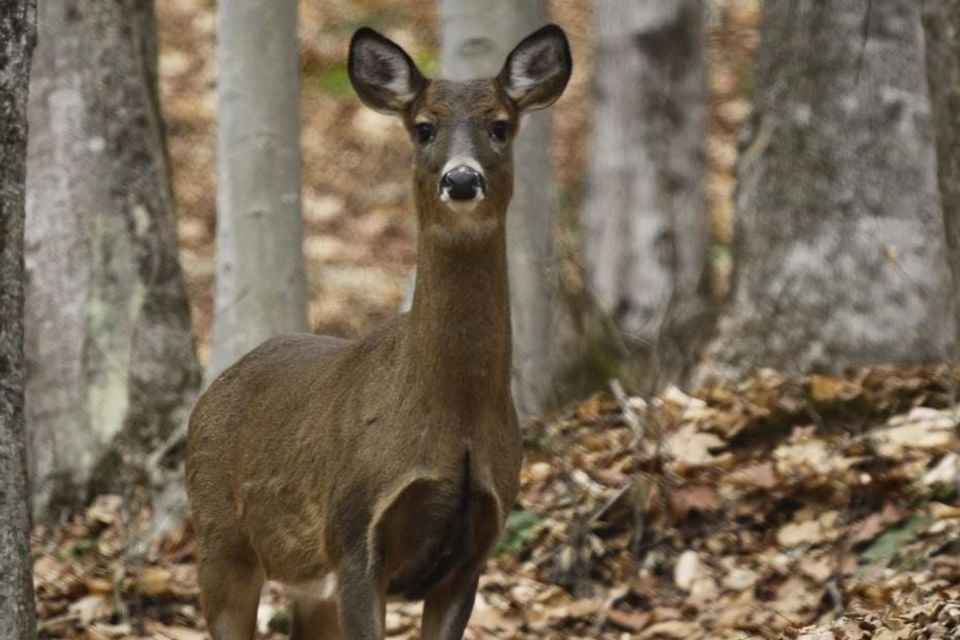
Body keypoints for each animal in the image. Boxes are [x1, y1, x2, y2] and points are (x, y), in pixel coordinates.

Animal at [186, 24, 571, 640]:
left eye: (499, 125)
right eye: (424, 127)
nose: (462, 178)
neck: (454, 420)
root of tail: (213, 389)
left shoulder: (471, 555)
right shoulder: (354, 534)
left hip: (301, 580)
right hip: (220, 537)